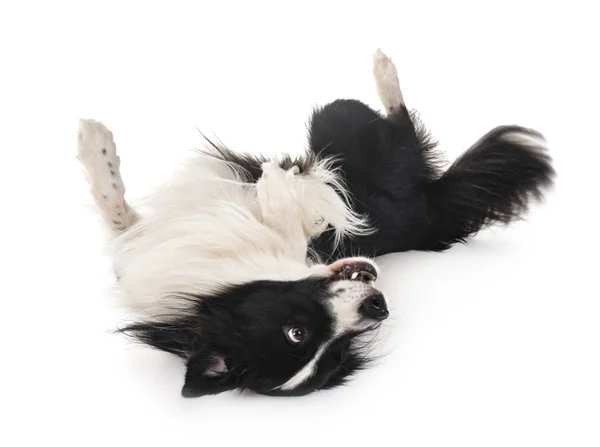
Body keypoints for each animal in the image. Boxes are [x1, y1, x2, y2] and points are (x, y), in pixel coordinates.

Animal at [78, 50, 552, 400]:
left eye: (337, 350)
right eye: (299, 335)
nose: (378, 307)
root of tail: (434, 213)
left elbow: (119, 212)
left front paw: (94, 143)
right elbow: (121, 217)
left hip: (342, 134)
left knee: (374, 119)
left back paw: (383, 71)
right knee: (385, 126)